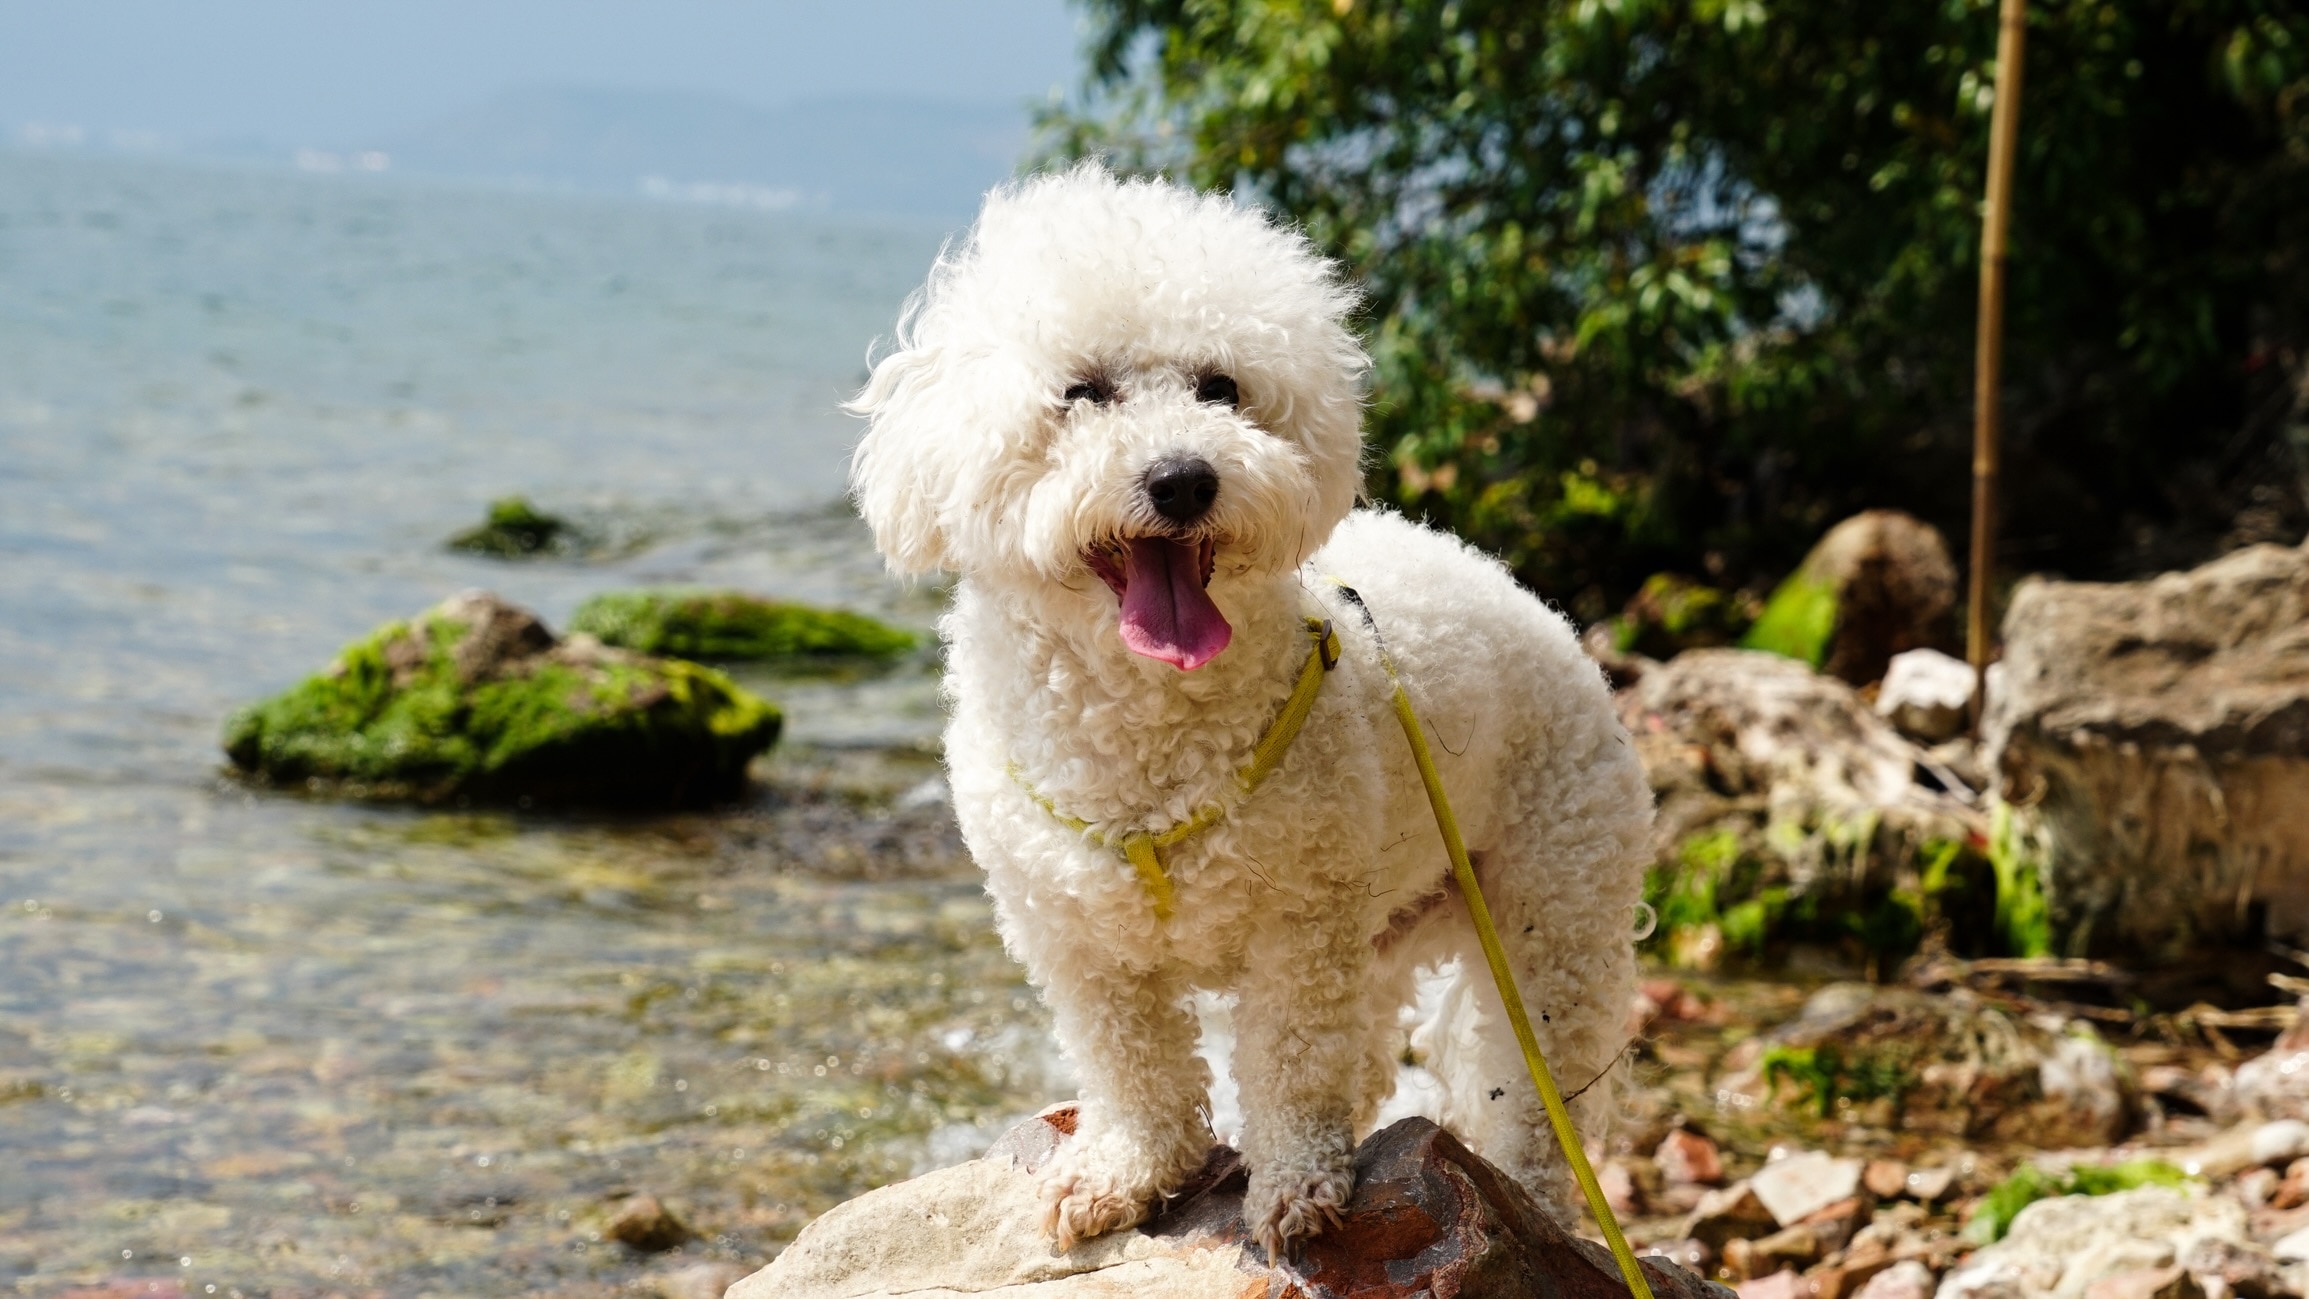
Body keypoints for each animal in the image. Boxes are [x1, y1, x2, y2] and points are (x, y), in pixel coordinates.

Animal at [849, 162, 1662, 1264]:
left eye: (1220, 388)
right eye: (1082, 392)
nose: (1183, 478)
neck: (1147, 731)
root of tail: (1555, 622)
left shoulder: (1299, 927)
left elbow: (1288, 1061)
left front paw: (1294, 1186)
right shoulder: (1076, 939)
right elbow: (1133, 1068)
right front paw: (1125, 1172)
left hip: (1551, 902)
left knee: (1536, 1079)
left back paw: (1533, 1199)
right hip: (1387, 921)